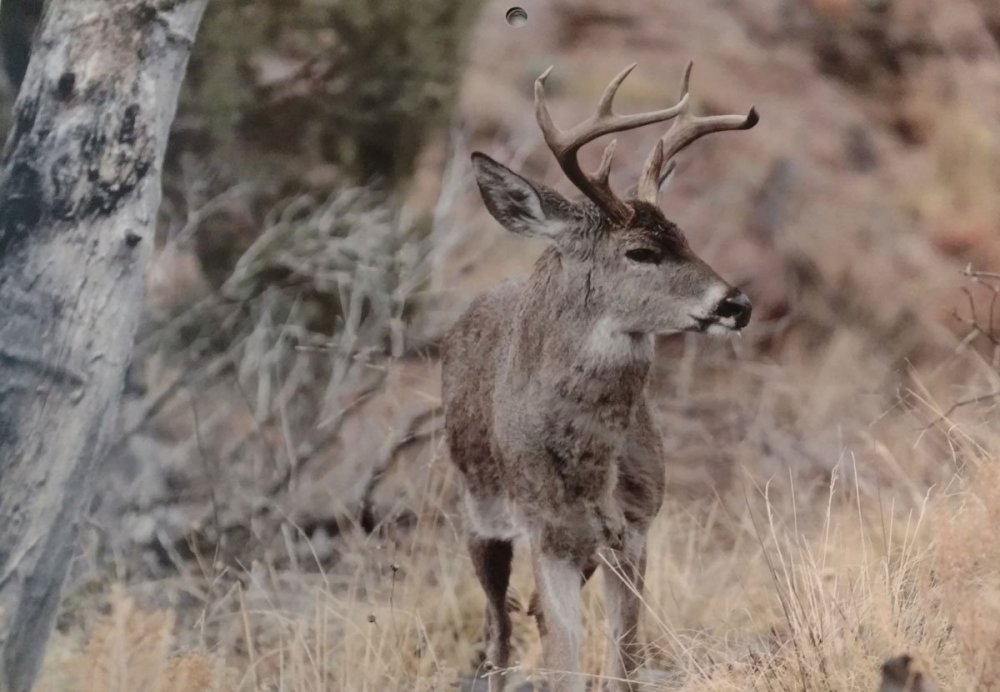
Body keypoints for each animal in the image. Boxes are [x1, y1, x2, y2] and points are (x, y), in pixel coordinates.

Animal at [442, 60, 752, 692]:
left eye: (685, 237)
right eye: (640, 252)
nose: (737, 305)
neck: (589, 464)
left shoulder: (635, 528)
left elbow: (625, 660)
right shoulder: (545, 531)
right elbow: (563, 660)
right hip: (477, 515)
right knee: (498, 629)